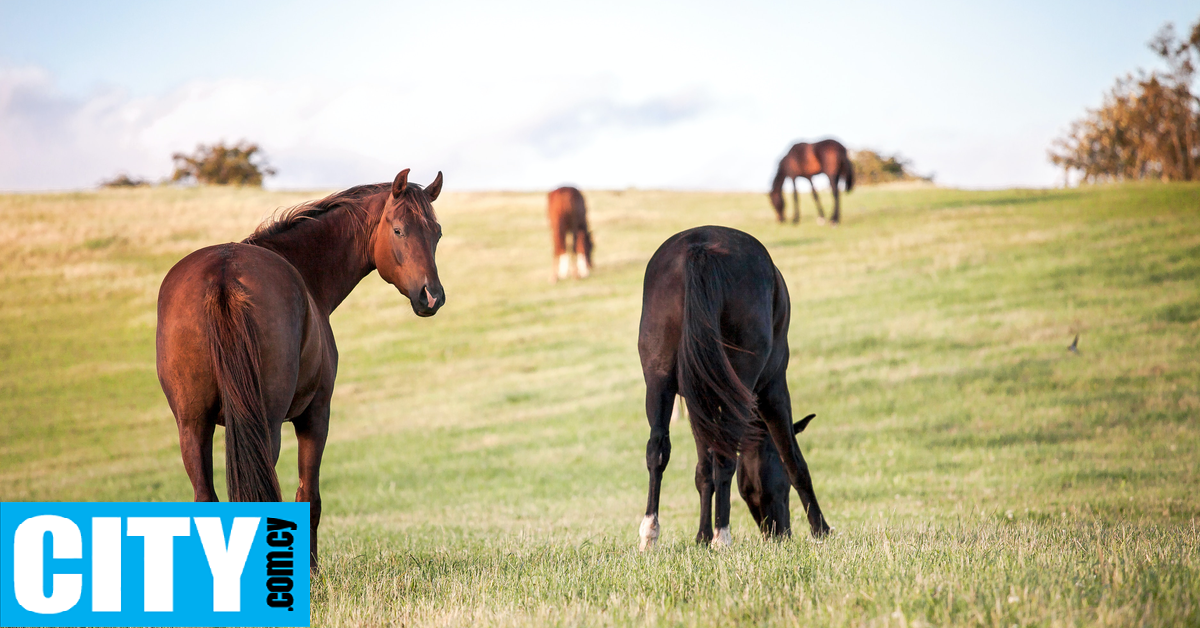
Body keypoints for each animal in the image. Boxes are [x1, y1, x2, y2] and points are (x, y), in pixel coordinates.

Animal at [154, 170, 446, 569]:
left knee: (204, 498)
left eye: (437, 232)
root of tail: (223, 275)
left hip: (192, 425)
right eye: (399, 230)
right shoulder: (315, 415)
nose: (432, 296)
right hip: (267, 425)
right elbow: (310, 497)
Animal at [638, 225, 825, 549]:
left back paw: (650, 534)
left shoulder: (698, 402)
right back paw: (722, 536)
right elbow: (793, 459)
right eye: (783, 487)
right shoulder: (773, 389)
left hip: (658, 379)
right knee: (726, 457)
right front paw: (821, 530)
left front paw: (701, 537)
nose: (780, 533)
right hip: (745, 383)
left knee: (657, 449)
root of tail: (699, 248)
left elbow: (703, 471)